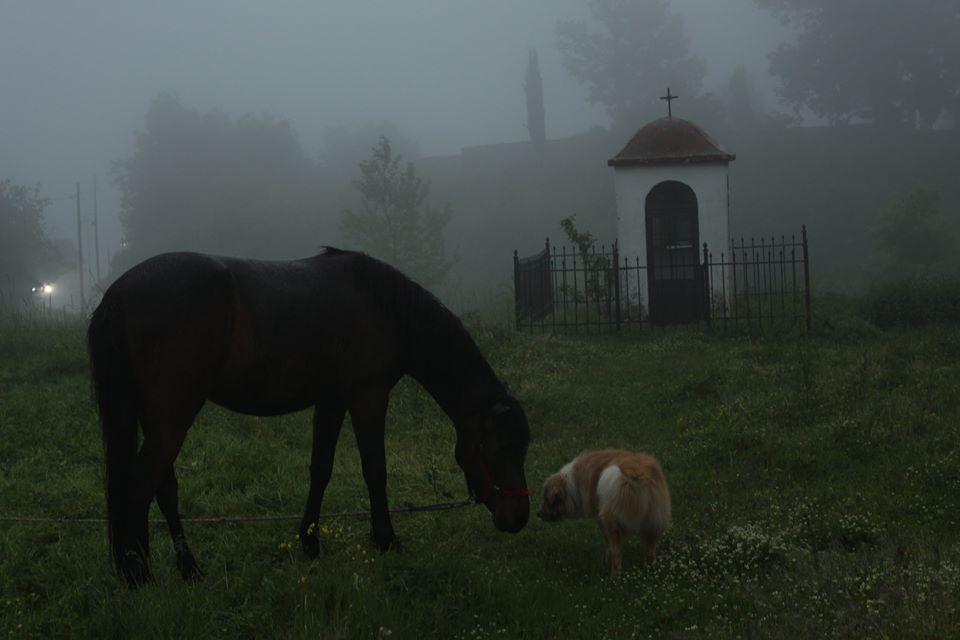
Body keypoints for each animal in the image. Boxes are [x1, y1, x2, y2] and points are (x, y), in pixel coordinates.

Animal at [88, 249, 532, 584]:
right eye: (501, 447)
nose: (519, 518)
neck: (383, 306)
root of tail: (119, 295)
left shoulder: (331, 400)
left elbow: (321, 469)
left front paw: (309, 543)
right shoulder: (368, 397)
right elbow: (375, 469)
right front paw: (386, 540)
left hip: (156, 417)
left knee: (162, 487)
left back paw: (186, 569)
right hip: (172, 415)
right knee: (141, 484)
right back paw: (140, 575)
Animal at [540, 448, 668, 576]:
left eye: (546, 500)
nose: (538, 514)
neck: (572, 483)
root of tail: (636, 475)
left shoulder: (600, 519)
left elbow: (608, 543)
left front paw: (606, 559)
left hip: (611, 520)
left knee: (617, 554)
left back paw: (614, 576)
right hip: (654, 523)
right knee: (650, 552)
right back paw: (649, 571)